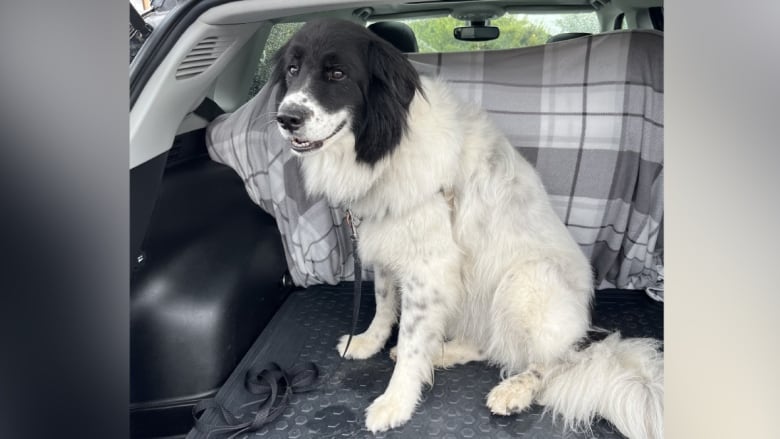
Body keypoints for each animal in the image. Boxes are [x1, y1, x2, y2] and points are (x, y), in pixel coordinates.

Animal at [272, 18, 660, 439]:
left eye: (337, 74)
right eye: (293, 70)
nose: (285, 118)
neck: (388, 145)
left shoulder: (429, 268)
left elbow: (412, 340)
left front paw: (396, 402)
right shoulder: (387, 242)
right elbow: (383, 303)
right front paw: (366, 343)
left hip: (525, 282)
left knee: (553, 361)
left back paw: (514, 389)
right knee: (489, 345)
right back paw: (443, 353)